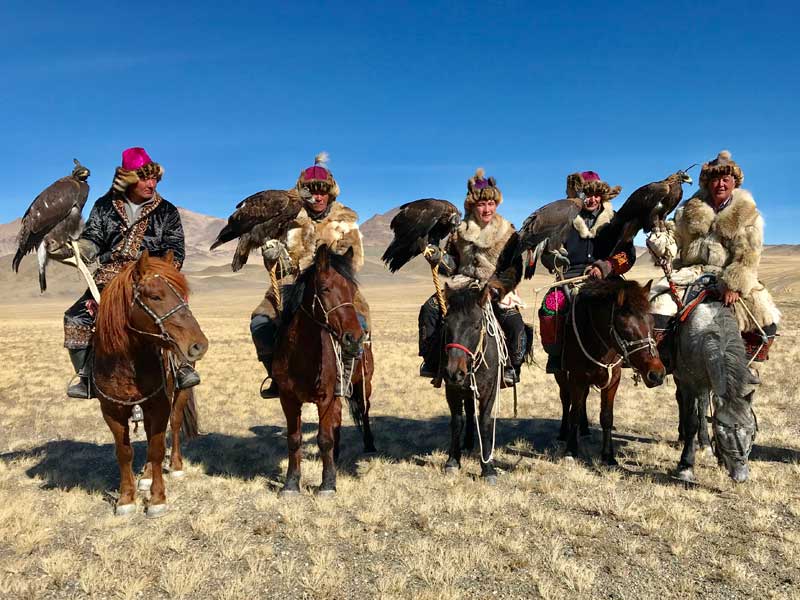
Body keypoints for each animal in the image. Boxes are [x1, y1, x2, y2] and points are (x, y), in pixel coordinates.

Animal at [93, 250, 209, 516]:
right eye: (155, 296)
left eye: (182, 294)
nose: (199, 344)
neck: (128, 363)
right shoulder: (110, 410)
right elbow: (124, 452)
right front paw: (126, 499)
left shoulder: (159, 404)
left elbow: (156, 448)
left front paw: (157, 500)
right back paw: (145, 477)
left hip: (182, 390)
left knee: (174, 425)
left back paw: (175, 466)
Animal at [272, 244, 376, 496]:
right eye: (325, 288)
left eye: (352, 290)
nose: (354, 339)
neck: (300, 357)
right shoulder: (287, 399)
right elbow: (294, 439)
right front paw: (291, 484)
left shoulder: (325, 397)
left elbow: (324, 438)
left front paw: (328, 484)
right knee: (337, 419)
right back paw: (335, 456)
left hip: (363, 384)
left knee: (364, 412)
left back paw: (368, 444)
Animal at [438, 284, 524, 486]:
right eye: (446, 323)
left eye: (476, 325)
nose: (454, 372)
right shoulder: (452, 390)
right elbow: (457, 421)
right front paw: (452, 461)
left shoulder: (489, 392)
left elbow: (484, 422)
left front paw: (488, 468)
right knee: (469, 412)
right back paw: (468, 443)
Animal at [552, 280, 664, 464]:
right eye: (626, 329)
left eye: (653, 324)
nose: (657, 374)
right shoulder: (576, 378)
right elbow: (574, 412)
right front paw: (571, 450)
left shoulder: (613, 380)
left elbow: (606, 416)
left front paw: (608, 456)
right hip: (560, 374)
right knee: (565, 399)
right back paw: (563, 433)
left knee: (583, 399)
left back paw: (585, 430)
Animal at [672, 300, 760, 482]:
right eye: (721, 435)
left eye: (751, 433)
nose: (740, 476)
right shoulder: (689, 383)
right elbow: (691, 421)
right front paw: (686, 466)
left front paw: (718, 457)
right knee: (681, 401)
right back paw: (682, 438)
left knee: (702, 405)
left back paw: (704, 443)